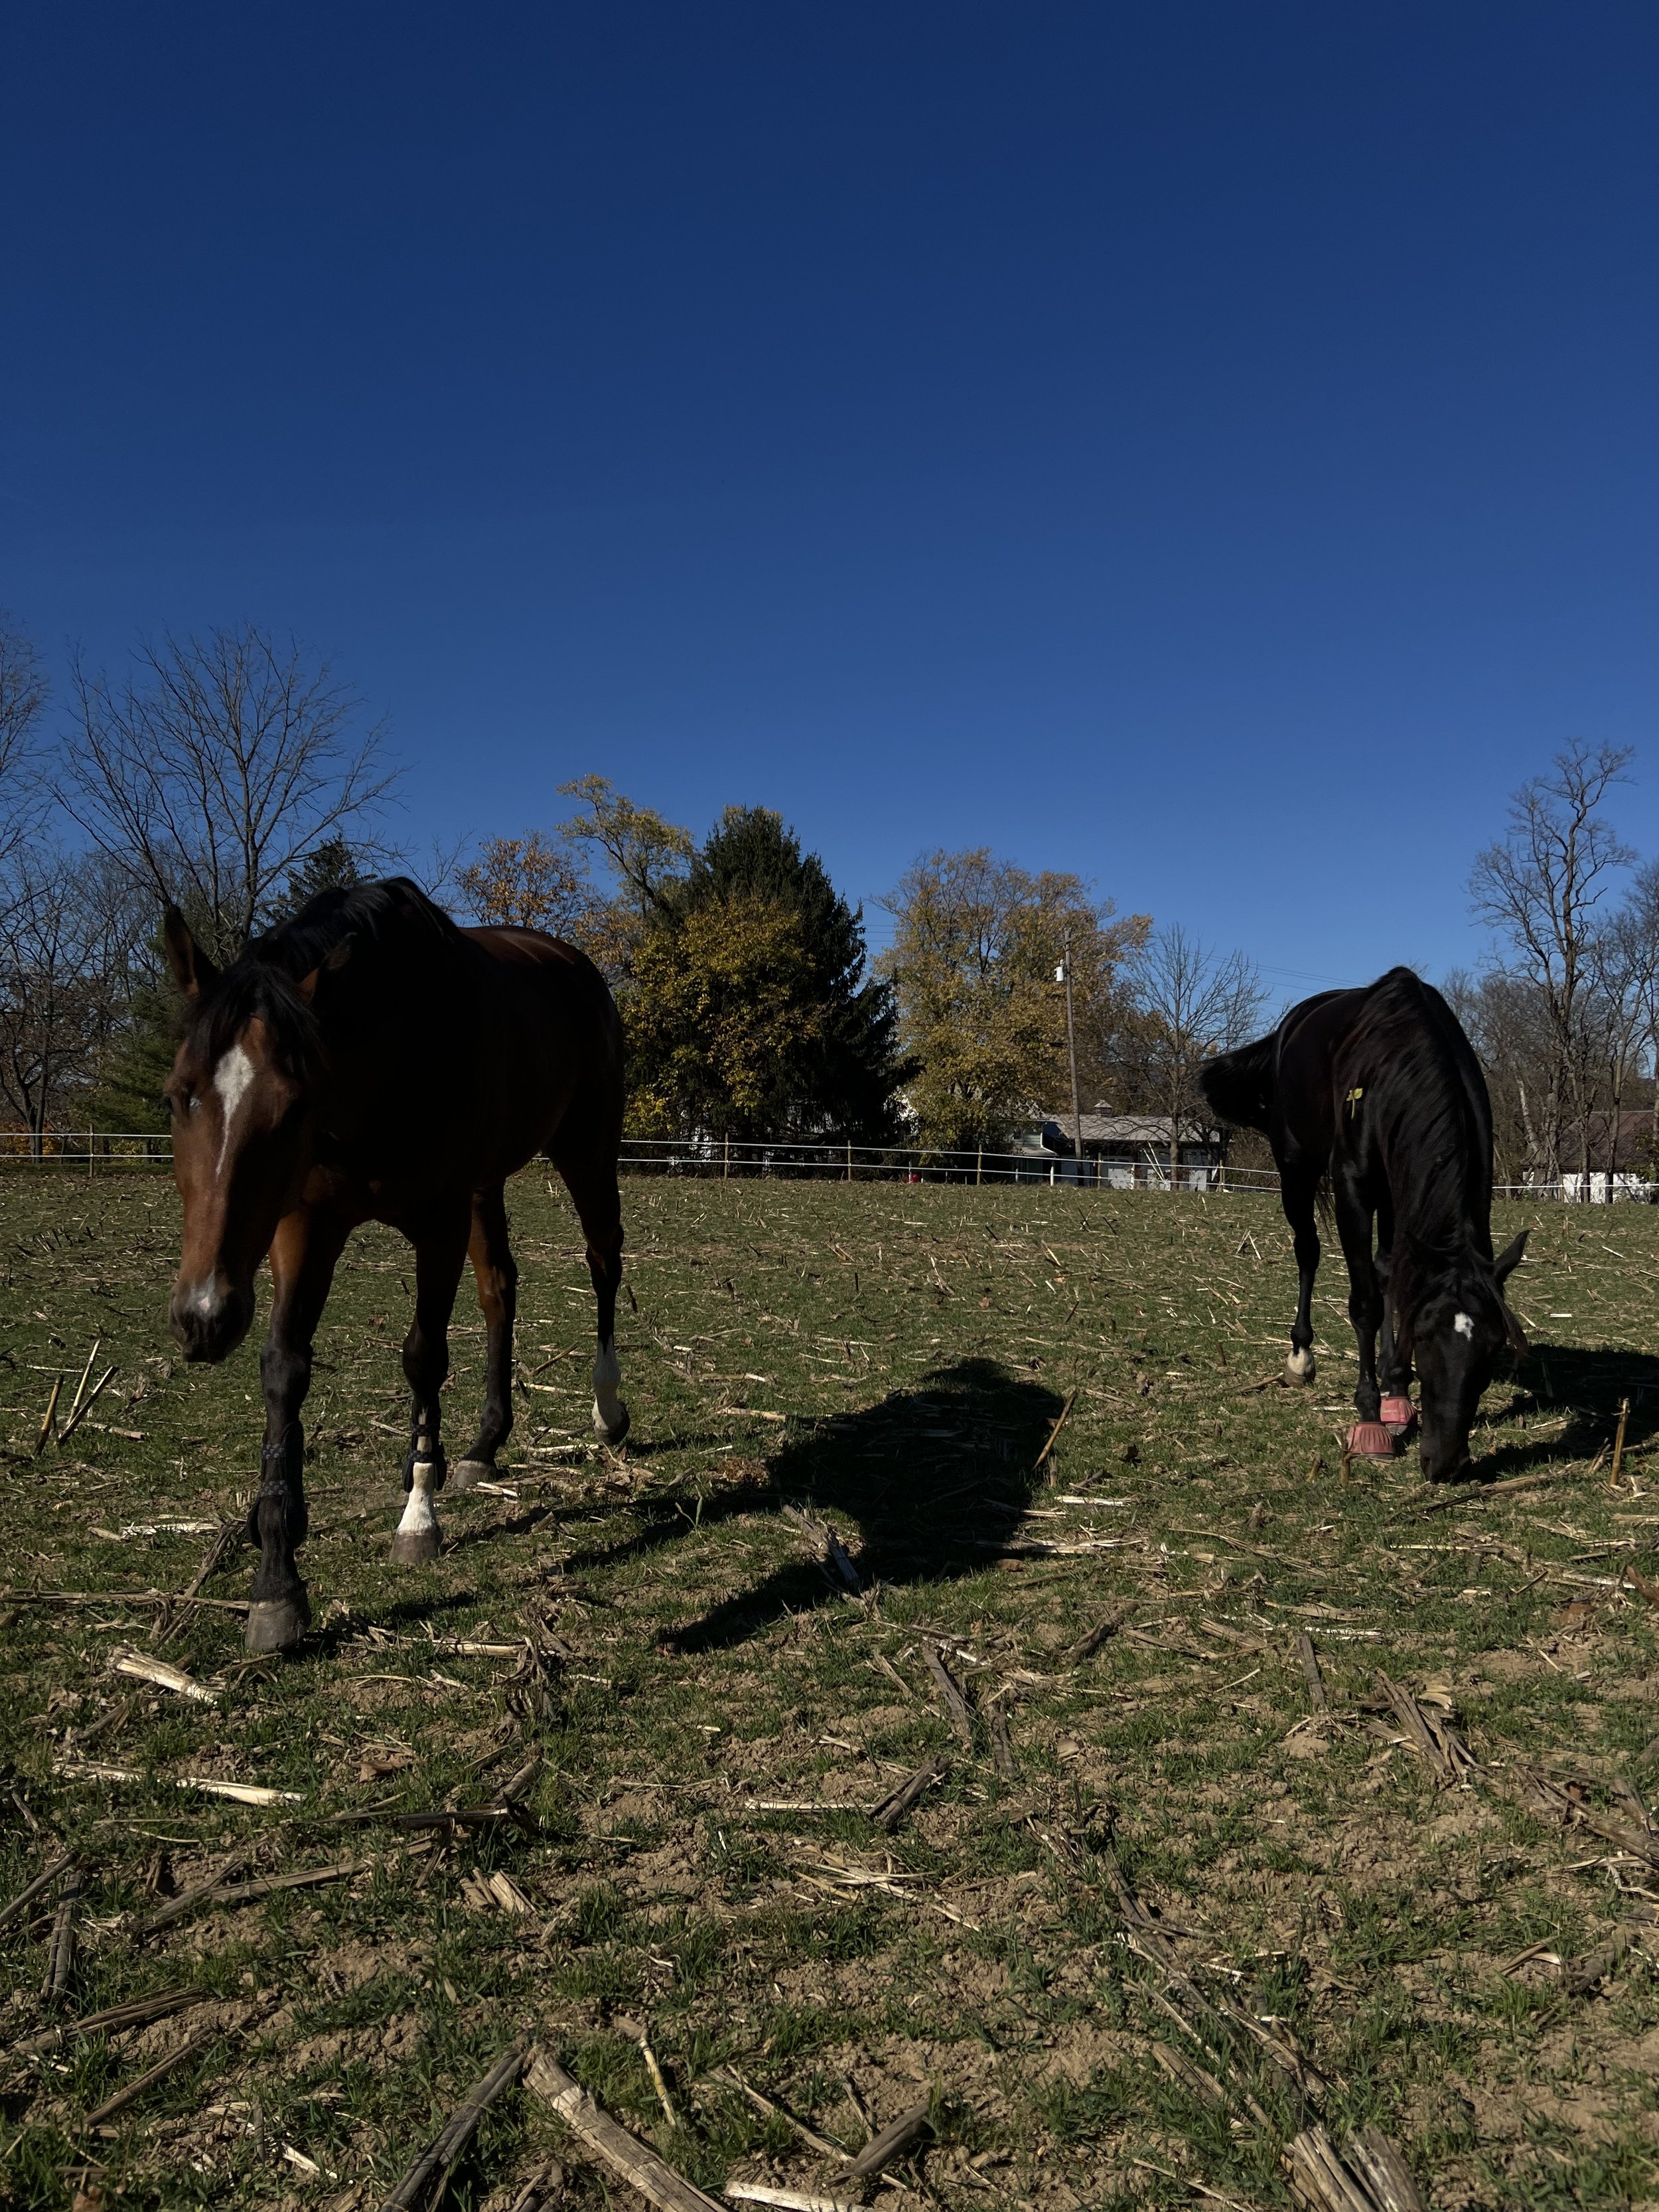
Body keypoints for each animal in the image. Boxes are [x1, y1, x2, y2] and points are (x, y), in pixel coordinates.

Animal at [159, 876, 630, 1652]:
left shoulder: (437, 1220)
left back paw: (607, 1409)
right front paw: (276, 1578)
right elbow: (284, 1370)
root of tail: (577, 966)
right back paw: (481, 1445)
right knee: (500, 1289)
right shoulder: (304, 1224)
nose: (204, 1317)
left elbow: (423, 1356)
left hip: (586, 1150)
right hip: (486, 1185)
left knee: (602, 1261)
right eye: (177, 1095)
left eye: (292, 1107)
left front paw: (417, 1516)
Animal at [1200, 966, 1527, 1481]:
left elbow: (1394, 1279)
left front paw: (1397, 1393)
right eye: (1426, 1338)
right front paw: (1371, 1418)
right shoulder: (1353, 1188)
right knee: (1308, 1249)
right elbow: (1366, 1303)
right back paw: (1300, 1356)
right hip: (1295, 1169)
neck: (1399, 1065)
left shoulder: (1410, 1187)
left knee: (1383, 1266)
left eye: (1495, 1346)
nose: (1446, 1463)